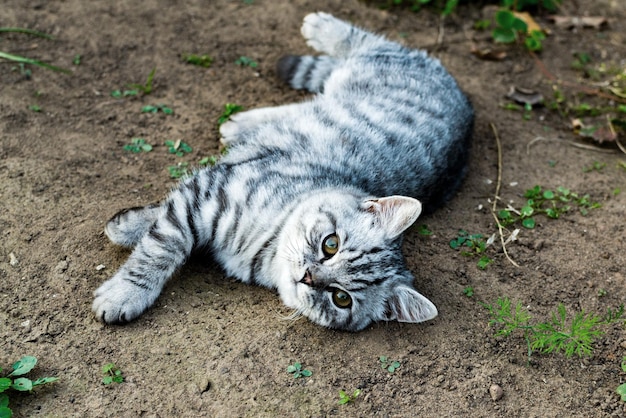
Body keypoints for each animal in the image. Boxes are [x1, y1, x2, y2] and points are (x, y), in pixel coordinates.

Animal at [92, 13, 470, 332]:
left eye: (341, 298)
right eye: (330, 244)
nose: (308, 277)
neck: (262, 247)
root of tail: (465, 102)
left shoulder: (211, 189)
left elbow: (162, 234)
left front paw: (128, 244)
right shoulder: (210, 190)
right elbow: (160, 245)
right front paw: (126, 288)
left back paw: (240, 124)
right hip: (375, 63)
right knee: (367, 42)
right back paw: (319, 27)